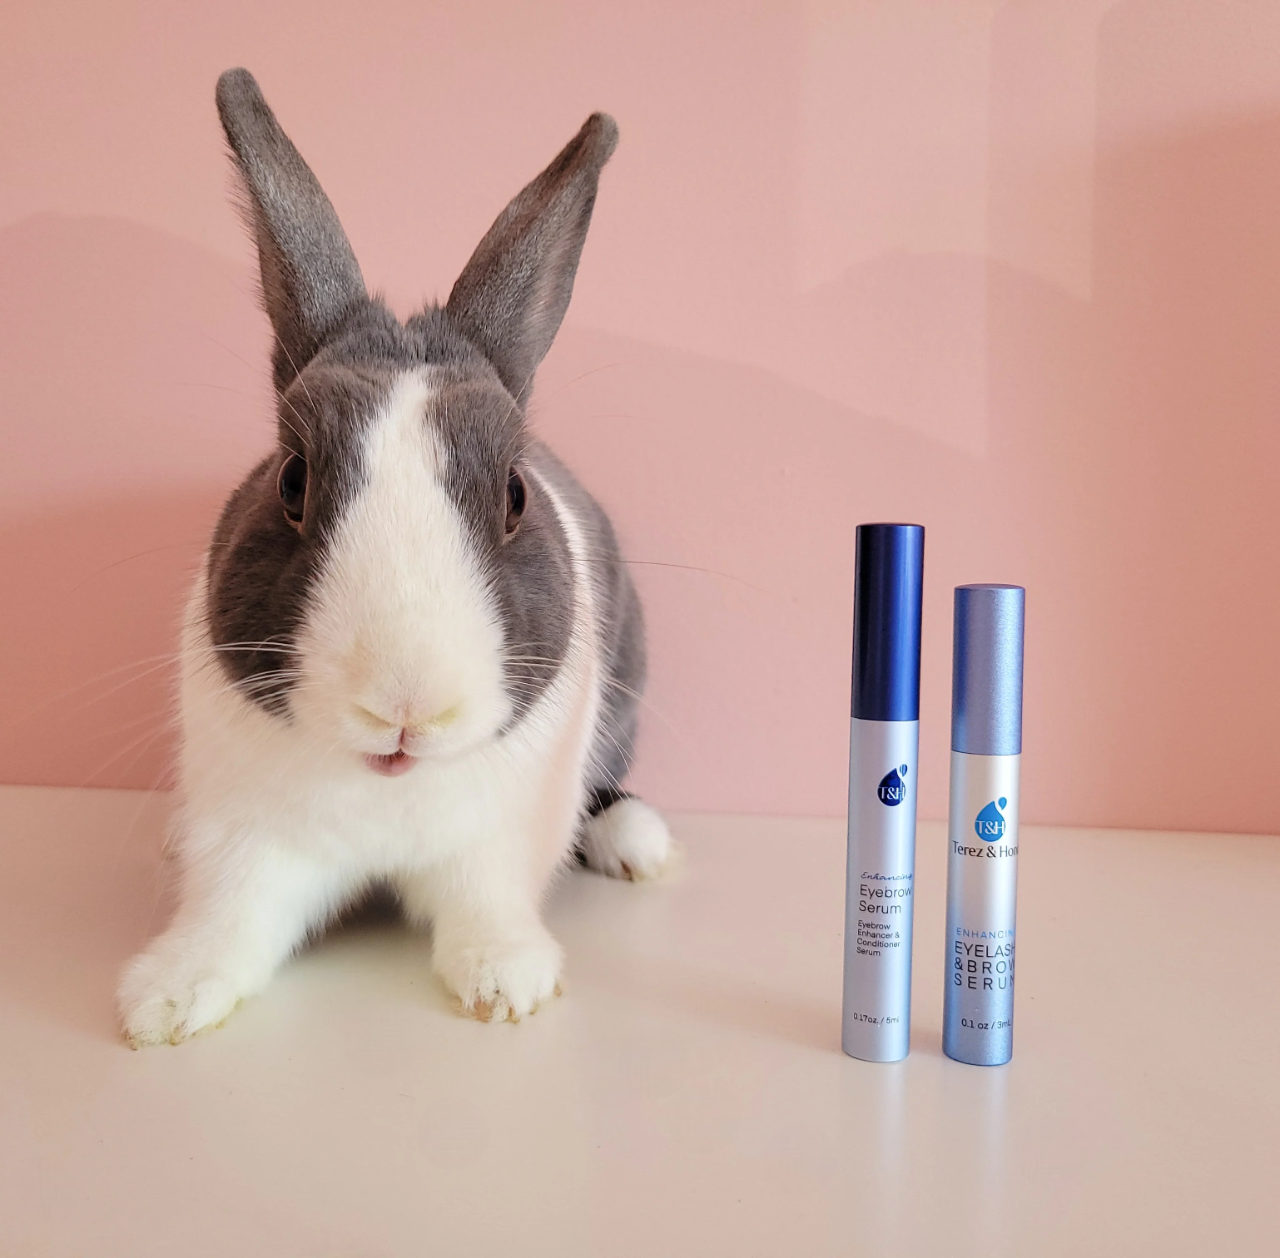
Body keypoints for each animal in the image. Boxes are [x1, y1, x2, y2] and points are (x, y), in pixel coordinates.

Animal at [120, 71, 675, 1054]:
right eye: (292, 480)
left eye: (515, 495)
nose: (405, 705)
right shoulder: (248, 837)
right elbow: (229, 917)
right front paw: (166, 1001)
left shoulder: (499, 840)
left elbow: (489, 904)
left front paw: (505, 983)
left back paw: (636, 842)